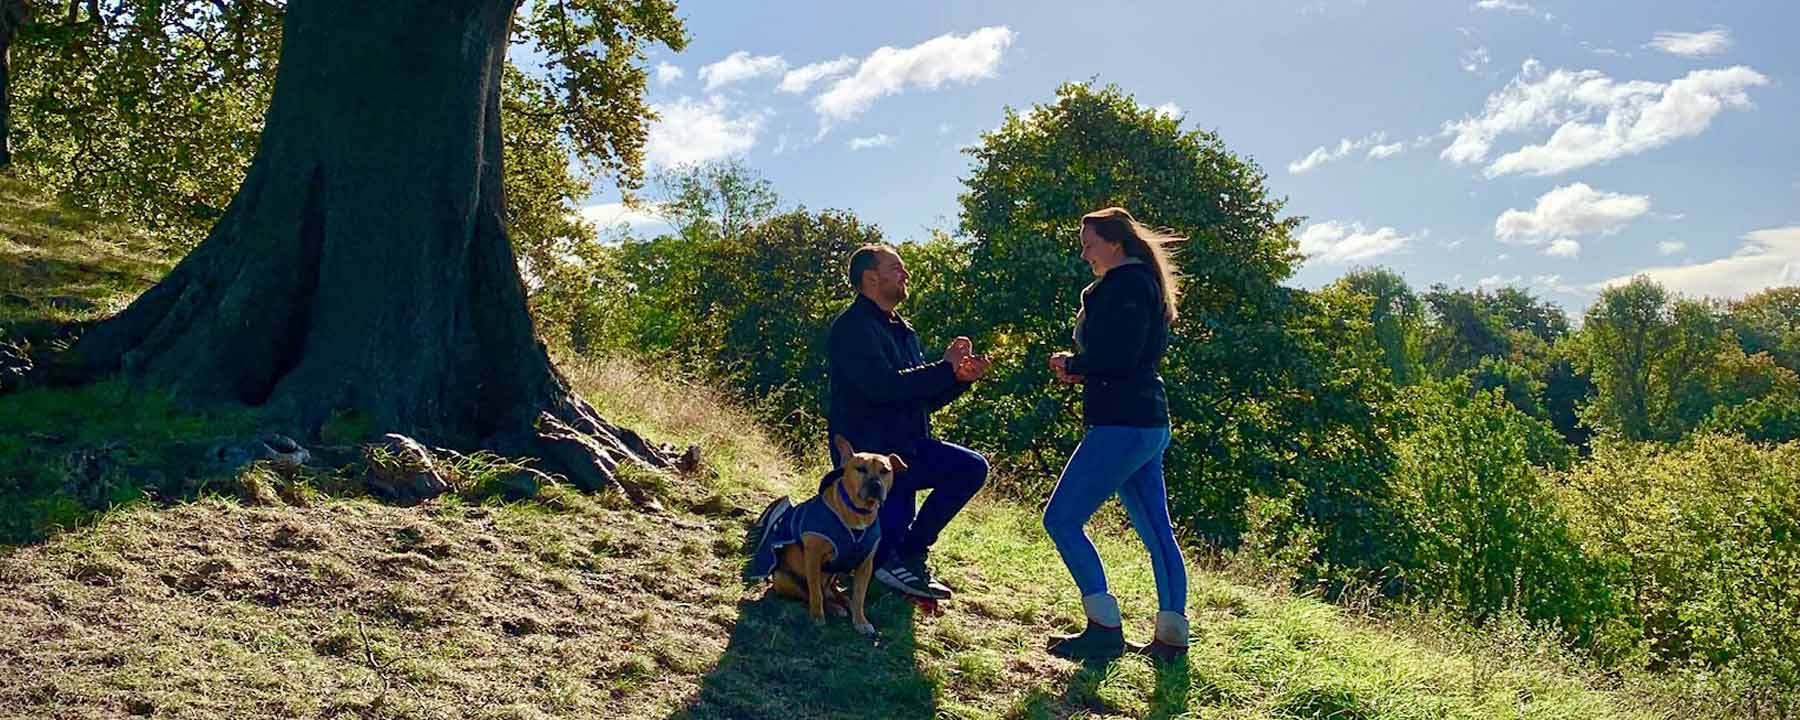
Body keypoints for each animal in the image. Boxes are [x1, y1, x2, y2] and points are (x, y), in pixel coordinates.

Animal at [741, 433, 900, 637]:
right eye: (860, 469)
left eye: (885, 471)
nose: (876, 485)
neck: (858, 513)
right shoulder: (813, 557)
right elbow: (815, 593)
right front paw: (817, 616)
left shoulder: (865, 565)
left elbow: (859, 597)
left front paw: (861, 620)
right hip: (783, 578)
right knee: (809, 595)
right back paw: (832, 608)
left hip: (832, 583)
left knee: (837, 595)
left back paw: (843, 604)